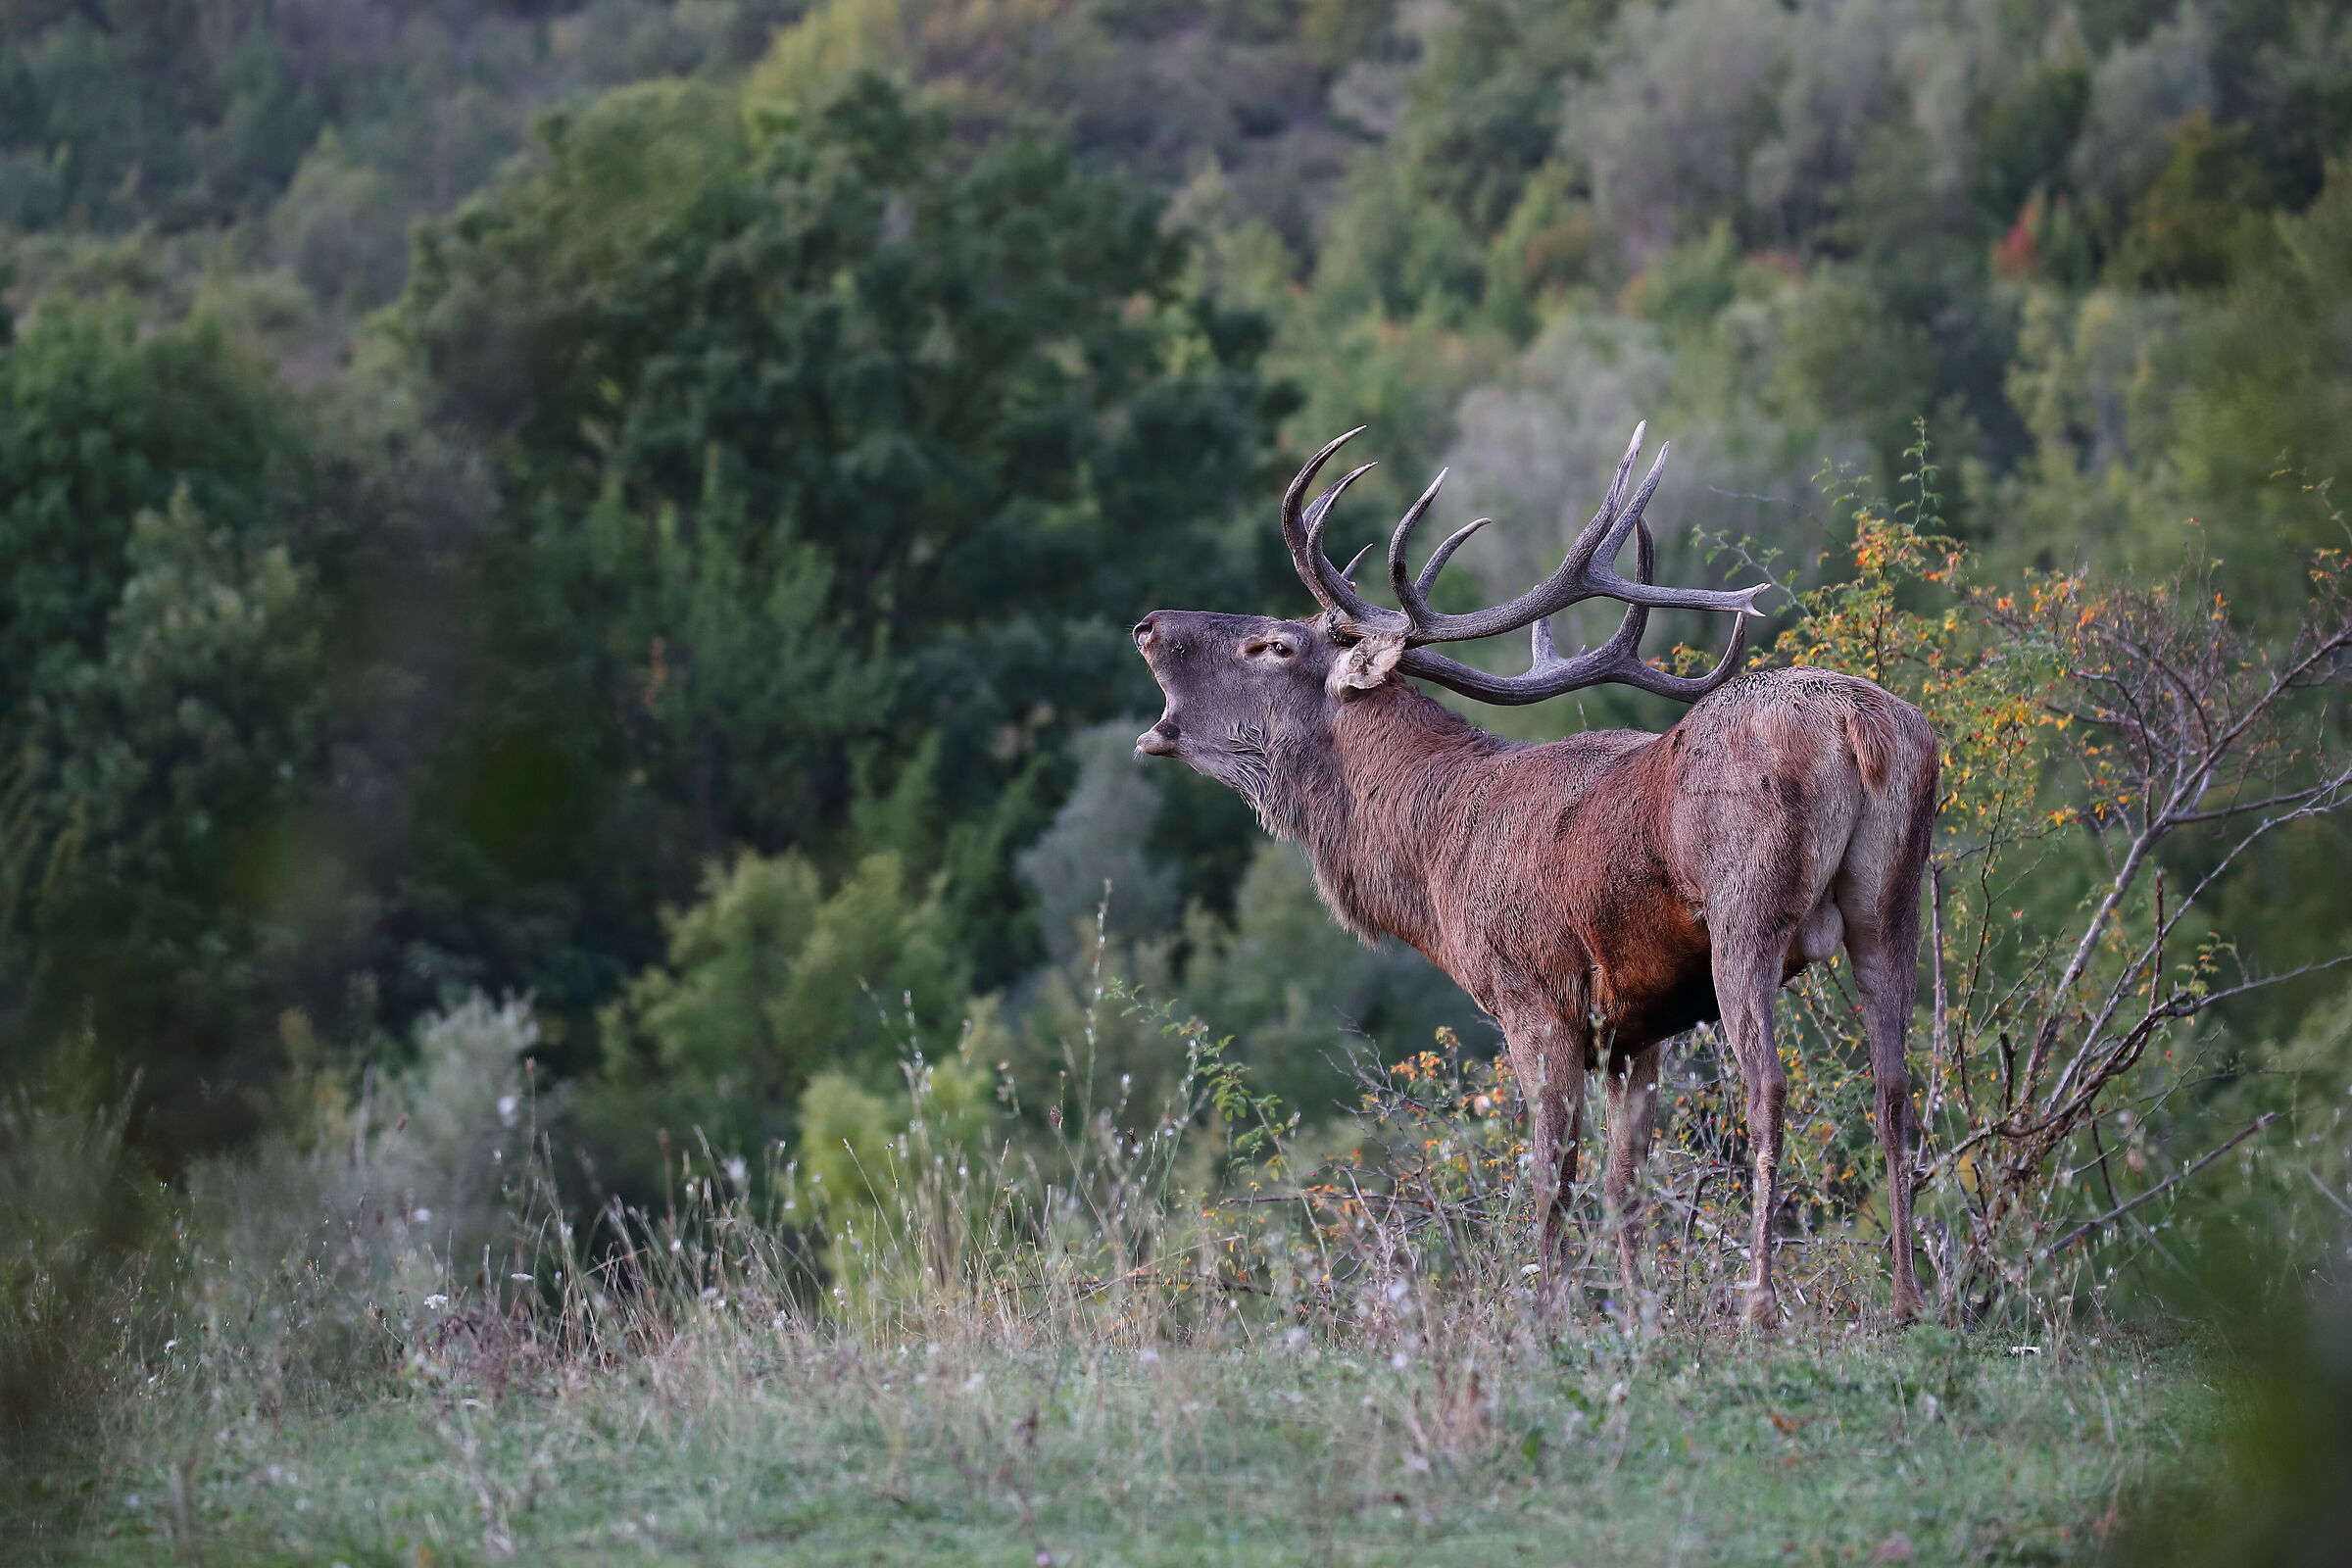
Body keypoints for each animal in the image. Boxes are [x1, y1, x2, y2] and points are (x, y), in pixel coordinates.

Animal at [1130, 426, 1938, 1326]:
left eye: (1272, 644)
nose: (1149, 623)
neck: (1434, 863)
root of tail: (1858, 723)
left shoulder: (1534, 998)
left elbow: (1552, 1176)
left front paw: (1545, 1314)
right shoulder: (1636, 1026)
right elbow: (1624, 1183)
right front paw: (1637, 1314)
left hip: (1746, 914)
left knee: (1769, 1090)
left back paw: (1759, 1305)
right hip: (1892, 900)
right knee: (1895, 1085)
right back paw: (1907, 1299)